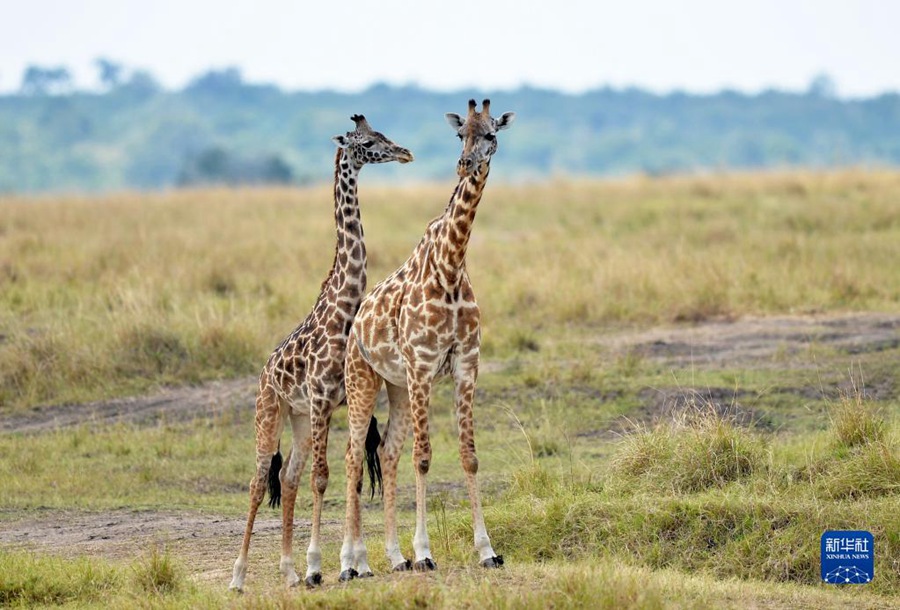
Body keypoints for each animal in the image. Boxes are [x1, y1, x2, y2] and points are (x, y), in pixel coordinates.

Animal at [230, 114, 416, 588]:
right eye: (367, 141)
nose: (404, 152)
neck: (344, 308)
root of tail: (265, 371)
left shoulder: (341, 400)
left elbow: (347, 469)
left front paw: (355, 563)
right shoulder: (319, 399)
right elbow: (323, 477)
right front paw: (321, 565)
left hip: (297, 418)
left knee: (288, 476)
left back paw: (289, 571)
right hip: (271, 411)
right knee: (259, 480)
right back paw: (240, 576)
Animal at [338, 97, 512, 576]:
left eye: (491, 133)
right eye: (459, 134)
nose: (464, 164)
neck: (451, 266)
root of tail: (356, 322)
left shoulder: (467, 366)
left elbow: (469, 456)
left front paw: (487, 551)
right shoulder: (421, 367)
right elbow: (424, 457)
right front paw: (425, 552)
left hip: (395, 387)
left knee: (386, 453)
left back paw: (392, 557)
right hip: (363, 381)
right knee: (354, 456)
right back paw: (351, 562)